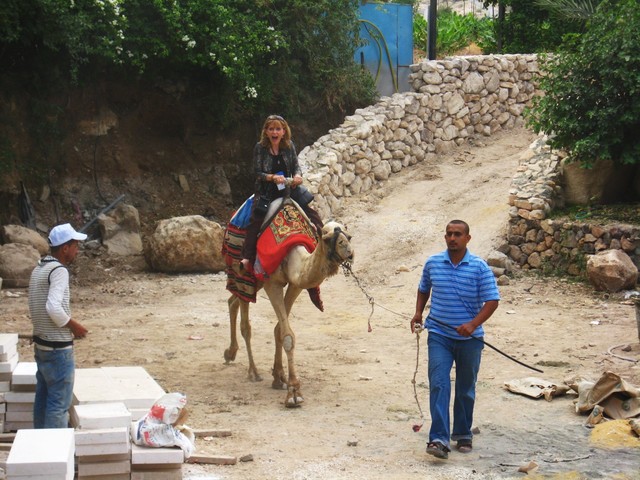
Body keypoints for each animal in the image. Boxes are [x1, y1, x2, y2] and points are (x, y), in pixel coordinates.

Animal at [224, 201, 356, 406]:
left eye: (348, 236)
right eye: (326, 238)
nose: (348, 252)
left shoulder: (296, 284)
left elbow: (279, 330)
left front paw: (279, 377)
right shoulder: (272, 283)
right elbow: (287, 335)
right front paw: (294, 392)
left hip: (255, 281)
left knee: (233, 301)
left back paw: (230, 353)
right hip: (243, 273)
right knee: (245, 321)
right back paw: (253, 372)